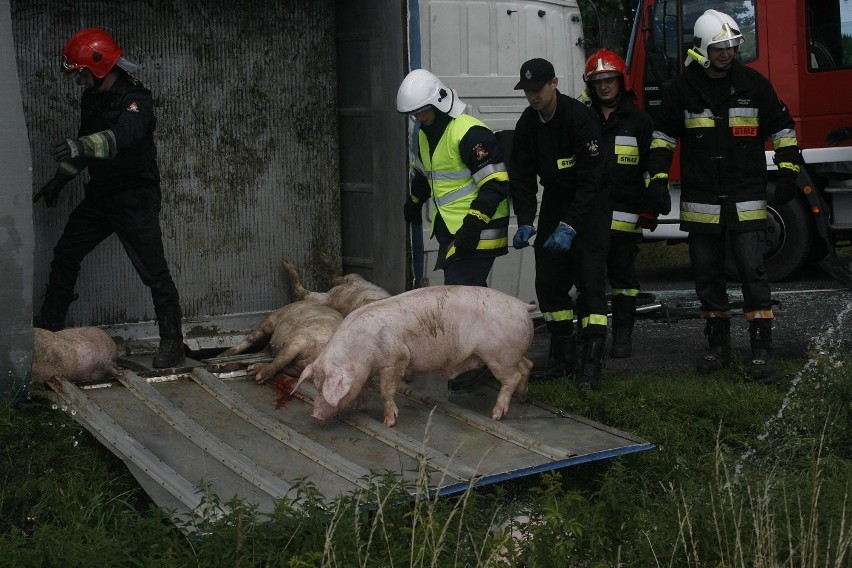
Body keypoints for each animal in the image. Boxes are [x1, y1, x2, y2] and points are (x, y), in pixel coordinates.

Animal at [292, 286, 532, 428]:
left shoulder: (396, 360)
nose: (315, 416)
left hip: (499, 355)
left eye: (324, 387)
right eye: (316, 385)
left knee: (511, 378)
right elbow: (365, 386)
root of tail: (523, 306)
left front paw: (388, 422)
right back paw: (522, 398)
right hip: (512, 354)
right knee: (527, 366)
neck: (360, 353)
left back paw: (496, 415)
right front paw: (361, 407)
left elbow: (386, 391)